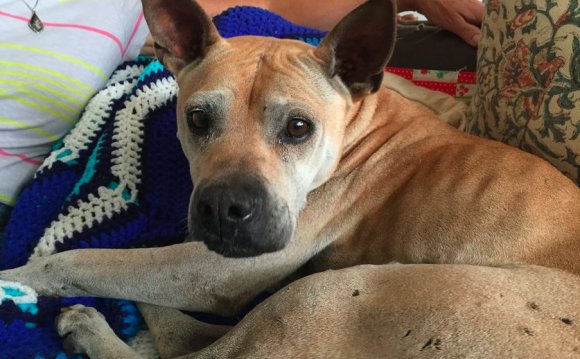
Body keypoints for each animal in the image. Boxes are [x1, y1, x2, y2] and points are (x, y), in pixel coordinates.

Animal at [1, 0, 580, 358]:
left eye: (299, 127)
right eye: (197, 119)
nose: (224, 209)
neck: (361, 126)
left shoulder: (213, 271)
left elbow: (81, 260)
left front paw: (19, 275)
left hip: (320, 298)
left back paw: (91, 325)